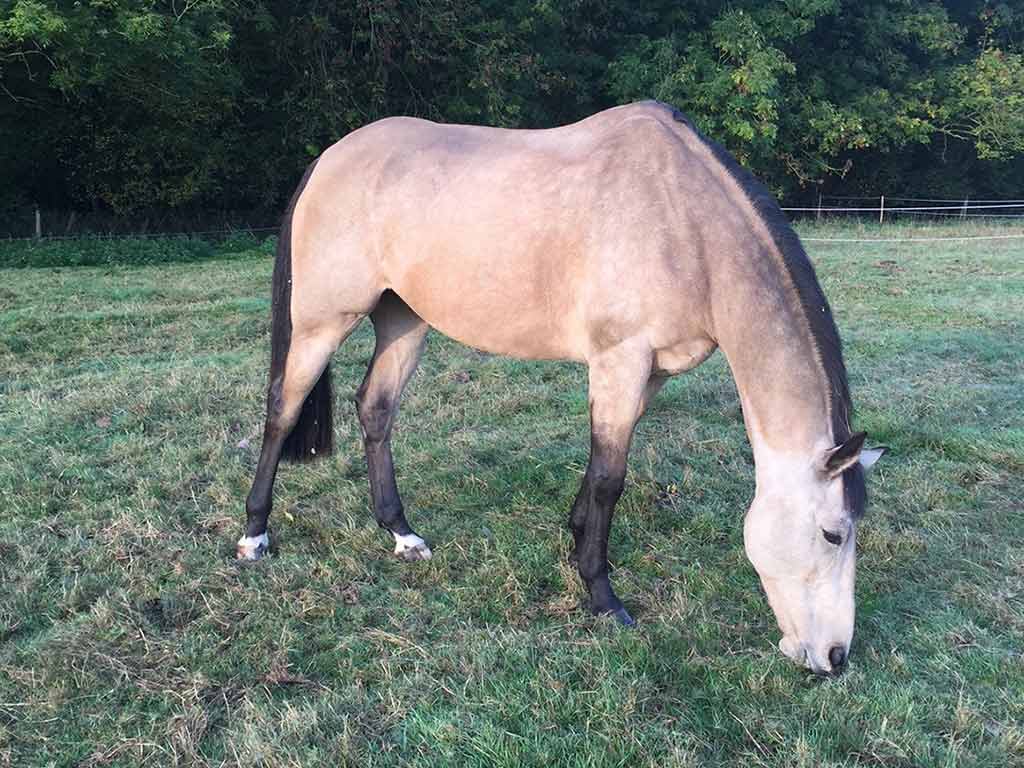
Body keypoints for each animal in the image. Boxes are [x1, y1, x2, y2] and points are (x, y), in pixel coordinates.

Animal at [237, 101, 884, 675]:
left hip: (404, 320)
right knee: (282, 409)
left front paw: (575, 543)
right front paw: (603, 596)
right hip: (322, 323)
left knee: (375, 409)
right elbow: (609, 479)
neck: (686, 223)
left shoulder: (648, 372)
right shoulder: (621, 358)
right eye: (832, 534)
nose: (835, 658)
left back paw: (401, 535)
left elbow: (601, 466)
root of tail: (329, 158)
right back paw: (254, 535)